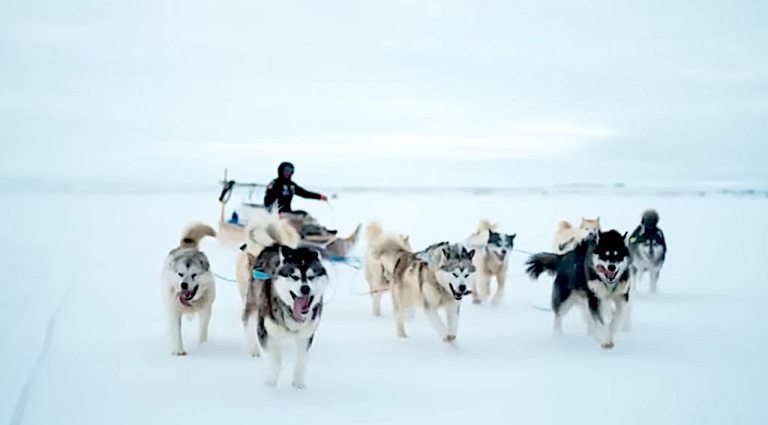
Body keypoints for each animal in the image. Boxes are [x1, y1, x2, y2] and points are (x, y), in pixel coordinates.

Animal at [161, 222, 216, 354]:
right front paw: (178, 350)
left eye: (194, 275)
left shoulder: (205, 311)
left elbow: (202, 330)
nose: (184, 285)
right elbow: (176, 332)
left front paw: (202, 347)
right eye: (180, 274)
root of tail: (186, 247)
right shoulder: (174, 311)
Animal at [243, 245, 328, 388]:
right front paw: (270, 383)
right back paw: (253, 350)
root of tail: (273, 246)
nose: (305, 288)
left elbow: (301, 361)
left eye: (311, 277)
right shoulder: (265, 331)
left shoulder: (305, 336)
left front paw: (298, 385)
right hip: (253, 306)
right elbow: (273, 361)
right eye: (294, 277)